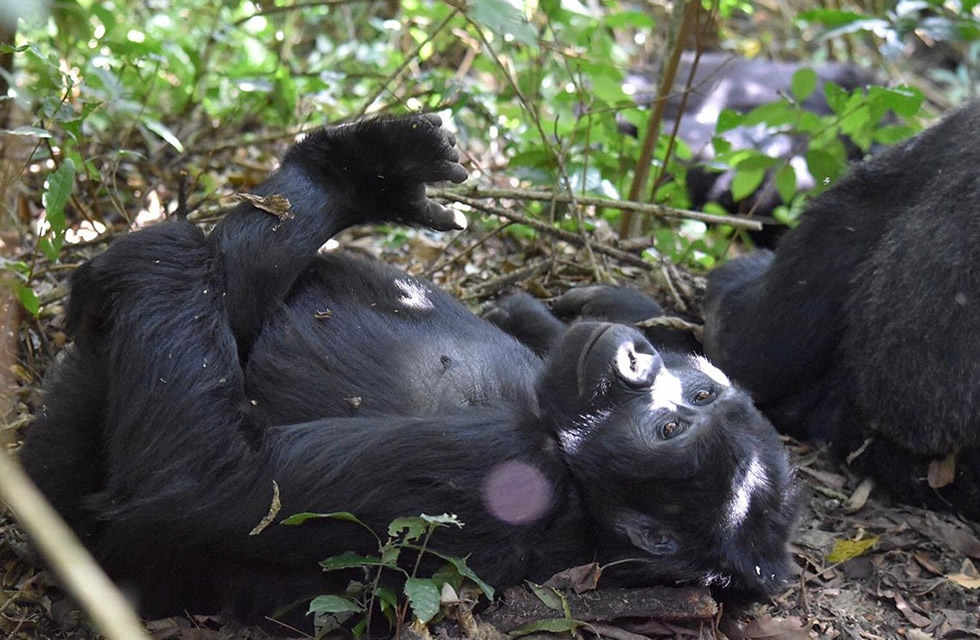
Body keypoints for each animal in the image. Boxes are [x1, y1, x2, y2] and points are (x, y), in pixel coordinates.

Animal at [19, 114, 800, 620]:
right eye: (698, 390)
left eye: (670, 430)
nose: (638, 360)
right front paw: (365, 169)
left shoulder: (509, 469)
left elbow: (204, 480)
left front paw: (165, 253)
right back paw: (340, 178)